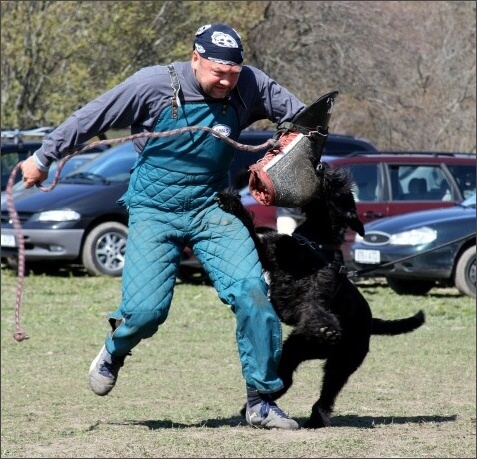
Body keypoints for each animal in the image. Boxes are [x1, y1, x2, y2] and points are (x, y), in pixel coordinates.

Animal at [216, 164, 424, 430]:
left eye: (338, 185)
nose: (322, 166)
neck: (315, 241)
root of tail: (370, 321)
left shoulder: (315, 296)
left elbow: (315, 308)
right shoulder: (271, 253)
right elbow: (254, 234)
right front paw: (231, 201)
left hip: (342, 362)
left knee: (327, 392)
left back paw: (316, 416)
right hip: (298, 349)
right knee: (286, 377)